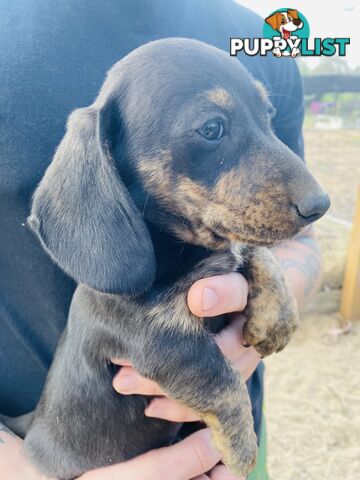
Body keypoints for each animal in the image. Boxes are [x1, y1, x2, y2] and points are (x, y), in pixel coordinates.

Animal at [21, 38, 328, 480]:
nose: (321, 205)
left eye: (268, 116)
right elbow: (220, 377)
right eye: (212, 128)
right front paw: (242, 446)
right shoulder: (161, 343)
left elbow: (257, 253)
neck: (184, 248)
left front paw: (276, 322)